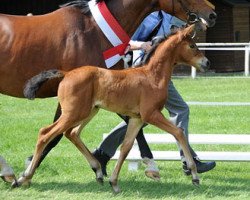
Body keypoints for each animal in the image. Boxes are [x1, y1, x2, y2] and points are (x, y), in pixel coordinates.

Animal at [0, 0, 215, 183]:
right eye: (192, 45)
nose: (211, 14)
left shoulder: (125, 105)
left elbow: (130, 137)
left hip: (88, 109)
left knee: (69, 132)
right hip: (80, 109)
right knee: (52, 132)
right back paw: (14, 174)